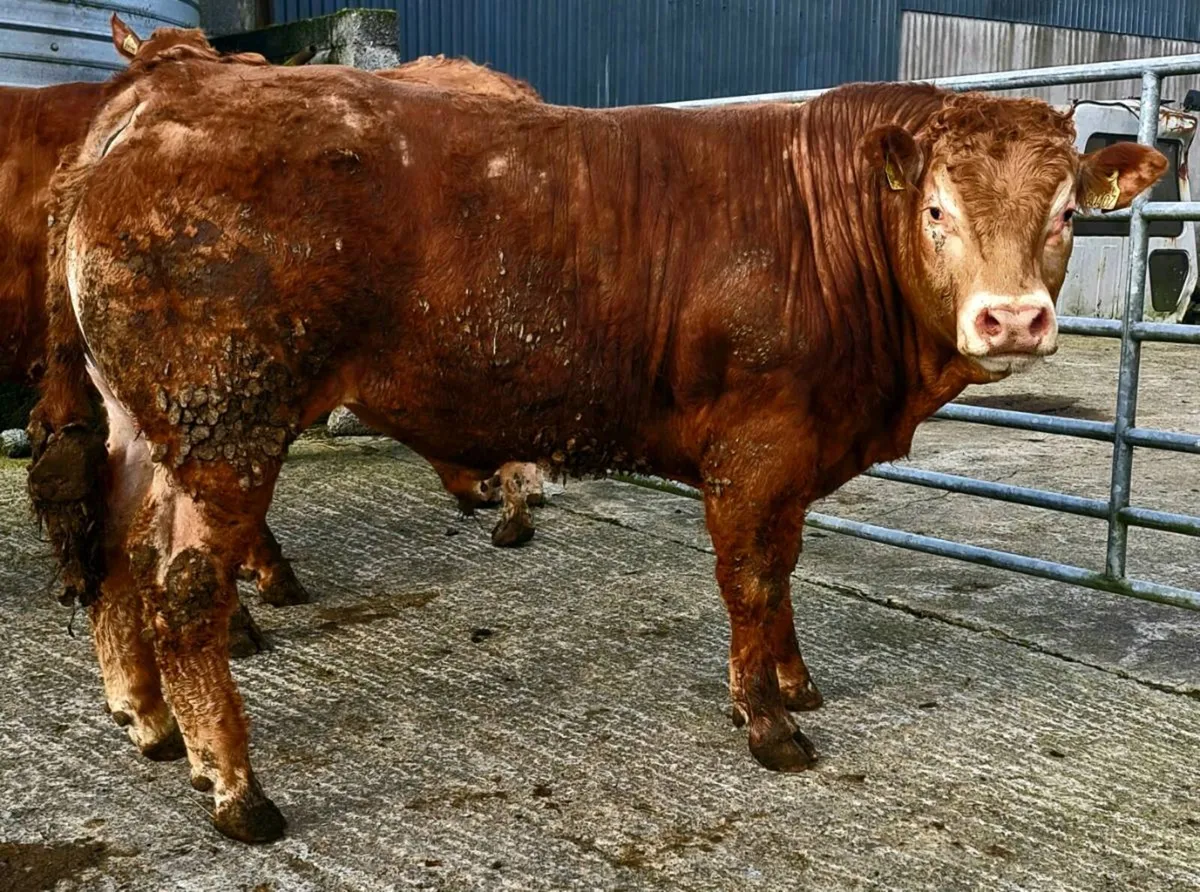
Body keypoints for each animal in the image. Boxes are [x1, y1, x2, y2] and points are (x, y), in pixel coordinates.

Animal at [33, 50, 1165, 842]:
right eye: (936, 208)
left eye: (1068, 211)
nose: (1011, 320)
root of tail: (163, 94)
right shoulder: (756, 444)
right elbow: (753, 575)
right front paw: (770, 723)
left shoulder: (794, 453)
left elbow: (787, 567)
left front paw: (795, 679)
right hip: (228, 419)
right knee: (183, 589)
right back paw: (237, 788)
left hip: (146, 424)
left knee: (115, 555)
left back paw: (150, 721)